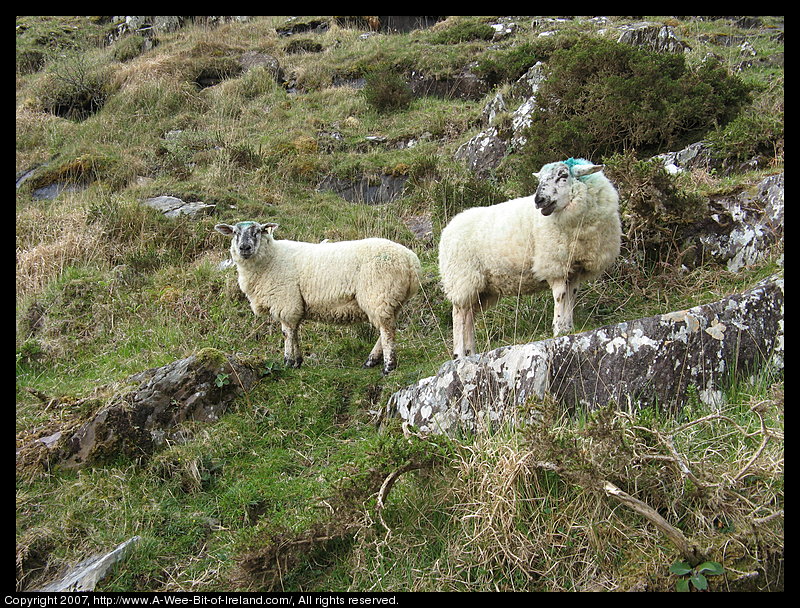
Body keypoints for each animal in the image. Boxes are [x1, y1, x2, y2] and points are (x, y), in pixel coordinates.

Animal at [216, 222, 422, 376]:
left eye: (257, 231)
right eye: (235, 232)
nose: (244, 248)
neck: (270, 259)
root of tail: (411, 262)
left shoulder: (286, 302)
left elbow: (287, 333)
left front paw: (288, 361)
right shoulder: (294, 305)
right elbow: (295, 332)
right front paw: (297, 361)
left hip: (379, 294)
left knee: (387, 331)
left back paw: (388, 366)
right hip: (392, 300)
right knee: (386, 328)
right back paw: (371, 361)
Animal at [440, 157, 620, 358]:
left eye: (563, 176)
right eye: (539, 179)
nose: (539, 200)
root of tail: (449, 227)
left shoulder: (574, 268)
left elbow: (571, 297)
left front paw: (568, 327)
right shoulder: (554, 263)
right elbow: (560, 296)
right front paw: (558, 328)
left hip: (480, 287)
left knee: (469, 316)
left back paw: (471, 352)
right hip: (463, 279)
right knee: (458, 315)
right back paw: (459, 354)